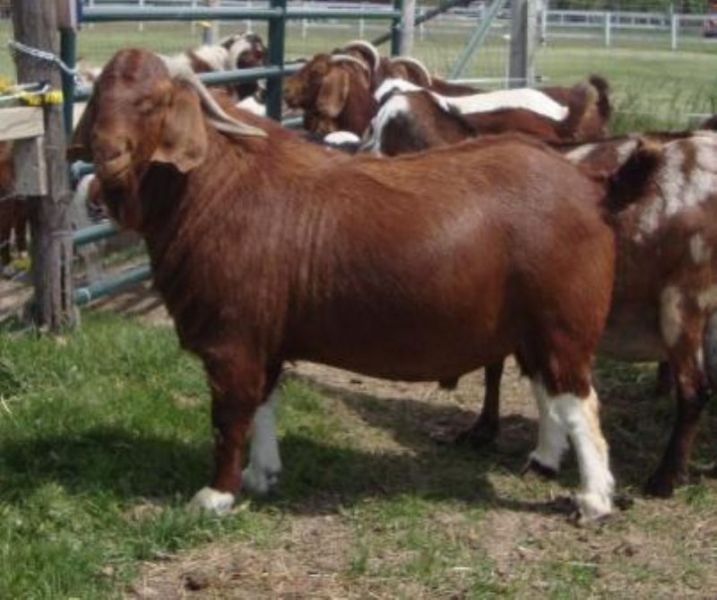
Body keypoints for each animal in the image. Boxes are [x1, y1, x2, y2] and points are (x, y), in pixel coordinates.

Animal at [71, 48, 651, 522]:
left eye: (153, 102)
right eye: (98, 99)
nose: (106, 155)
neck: (215, 186)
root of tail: (591, 187)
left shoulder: (233, 339)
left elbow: (230, 416)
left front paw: (216, 495)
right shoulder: (266, 337)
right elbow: (264, 404)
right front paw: (262, 476)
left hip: (564, 321)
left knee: (579, 401)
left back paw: (594, 499)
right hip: (534, 328)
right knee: (548, 390)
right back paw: (543, 460)